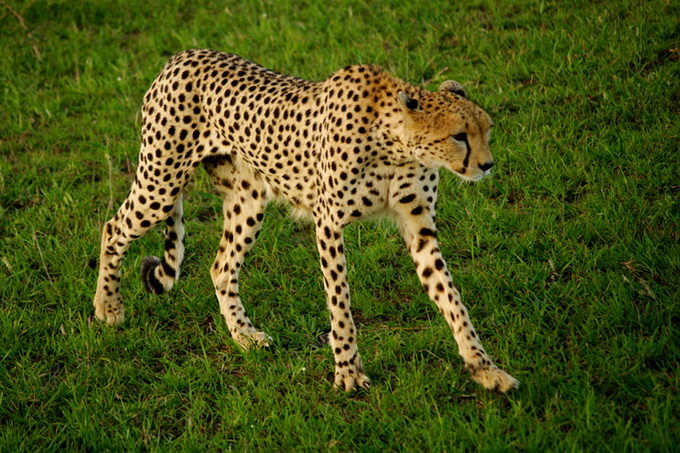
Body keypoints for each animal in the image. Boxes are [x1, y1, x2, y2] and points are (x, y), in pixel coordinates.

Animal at [93, 50, 520, 392]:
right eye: (459, 136)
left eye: (487, 130)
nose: (488, 166)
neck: (396, 146)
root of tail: (181, 56)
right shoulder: (328, 222)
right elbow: (340, 303)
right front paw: (348, 372)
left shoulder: (420, 229)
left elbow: (452, 300)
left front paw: (485, 368)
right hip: (161, 185)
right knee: (113, 228)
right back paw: (107, 308)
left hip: (249, 201)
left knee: (221, 267)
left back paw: (244, 336)